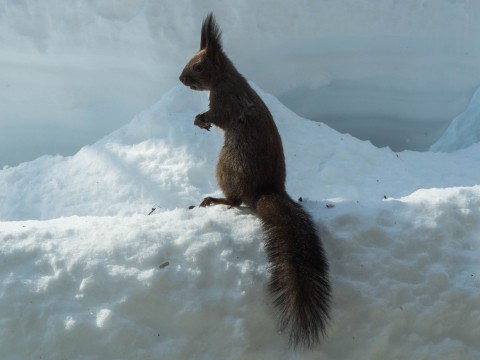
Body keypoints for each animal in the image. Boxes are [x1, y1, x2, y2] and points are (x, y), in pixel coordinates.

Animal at [178, 12, 332, 348]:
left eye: (199, 66)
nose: (181, 79)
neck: (226, 77)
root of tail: (267, 190)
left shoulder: (225, 101)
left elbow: (218, 116)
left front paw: (200, 120)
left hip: (227, 165)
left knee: (235, 200)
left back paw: (215, 199)